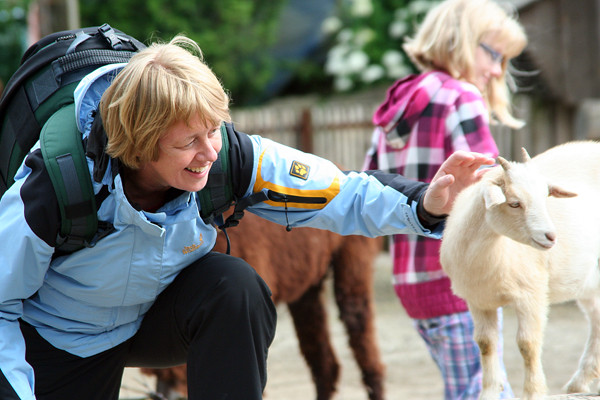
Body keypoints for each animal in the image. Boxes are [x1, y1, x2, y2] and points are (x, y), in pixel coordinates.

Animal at [438, 141, 600, 400]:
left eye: (545, 196)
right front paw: (489, 392)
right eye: (514, 203)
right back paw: (580, 381)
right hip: (588, 278)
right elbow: (485, 343)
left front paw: (533, 392)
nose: (551, 236)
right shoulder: (478, 300)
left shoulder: (531, 292)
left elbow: (528, 345)